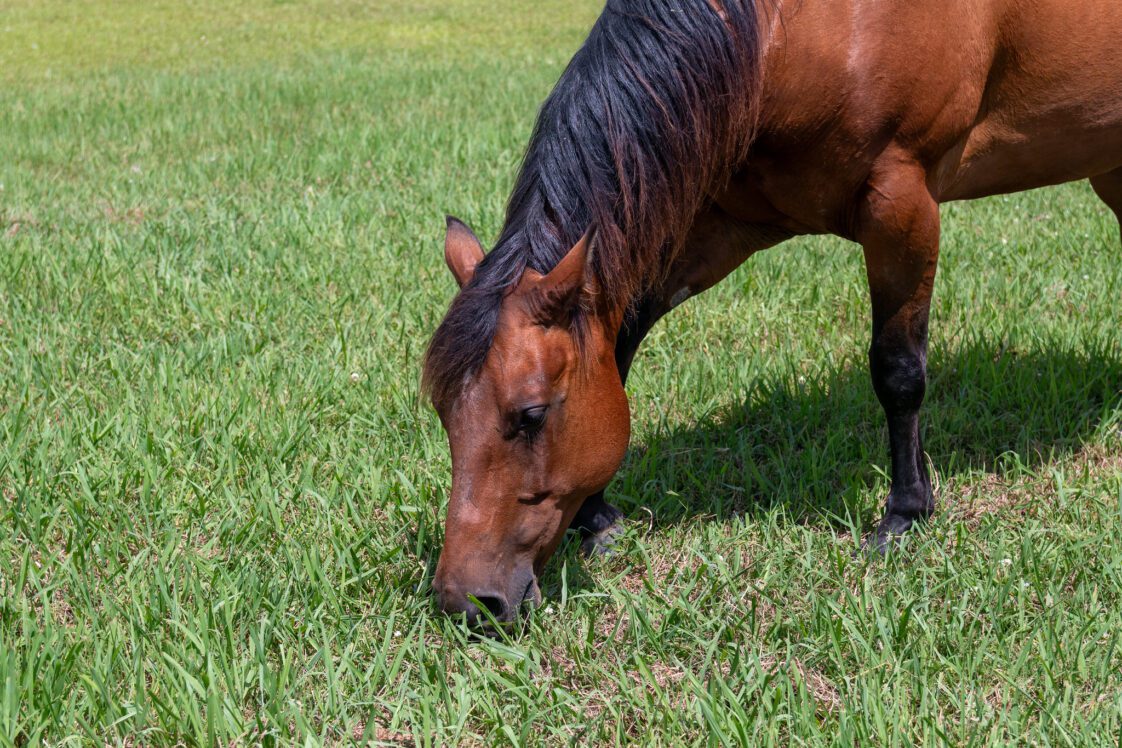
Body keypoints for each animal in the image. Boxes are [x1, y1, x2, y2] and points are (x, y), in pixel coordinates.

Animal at [423, 0, 1122, 624]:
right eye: (445, 415)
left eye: (531, 415)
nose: (468, 604)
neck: (795, 30)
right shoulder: (722, 228)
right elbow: (619, 346)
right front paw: (599, 518)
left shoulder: (903, 206)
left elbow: (898, 371)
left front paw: (904, 514)